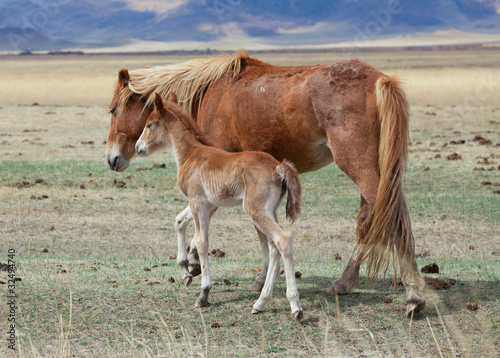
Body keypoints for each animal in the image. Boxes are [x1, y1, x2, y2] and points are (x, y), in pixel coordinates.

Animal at [135, 94, 302, 318]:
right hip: (270, 211)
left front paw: (203, 294)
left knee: (283, 240)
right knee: (274, 248)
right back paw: (260, 303)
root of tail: (278, 166)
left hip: (256, 210)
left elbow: (202, 242)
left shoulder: (197, 202)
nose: (139, 148)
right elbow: (179, 221)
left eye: (149, 124)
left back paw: (295, 306)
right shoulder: (206, 203)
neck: (191, 154)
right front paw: (185, 272)